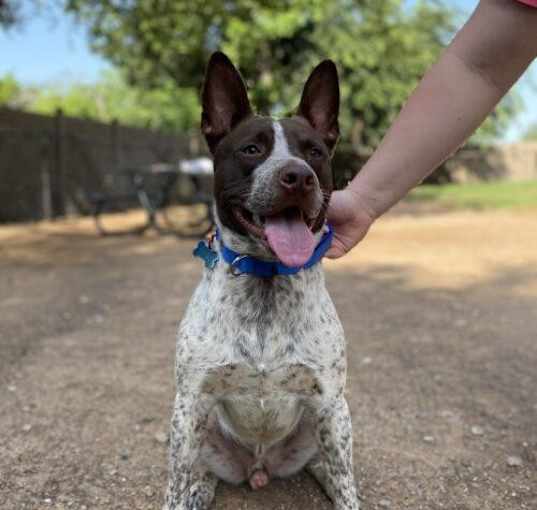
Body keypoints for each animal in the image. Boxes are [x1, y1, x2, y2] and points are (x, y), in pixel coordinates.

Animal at [161, 52, 358, 510]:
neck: (266, 282)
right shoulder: (190, 405)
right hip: (201, 434)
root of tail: (259, 468)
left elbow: (347, 485)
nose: (299, 176)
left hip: (325, 426)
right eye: (252, 149)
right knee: (199, 476)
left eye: (314, 152)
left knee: (327, 468)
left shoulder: (330, 403)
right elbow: (175, 485)